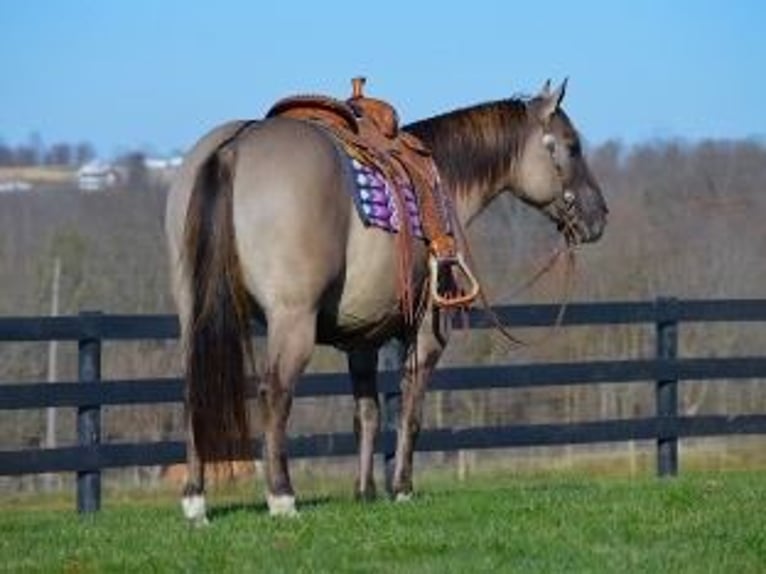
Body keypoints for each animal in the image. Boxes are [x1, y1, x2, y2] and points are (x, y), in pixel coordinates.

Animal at [165, 79, 608, 524]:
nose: (599, 217)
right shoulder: (427, 334)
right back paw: (282, 496)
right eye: (571, 147)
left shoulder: (361, 339)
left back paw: (195, 501)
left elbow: (367, 414)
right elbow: (410, 413)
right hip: (292, 321)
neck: (443, 183)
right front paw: (402, 489)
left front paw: (364, 491)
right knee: (275, 393)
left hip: (195, 317)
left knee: (194, 390)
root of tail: (234, 146)